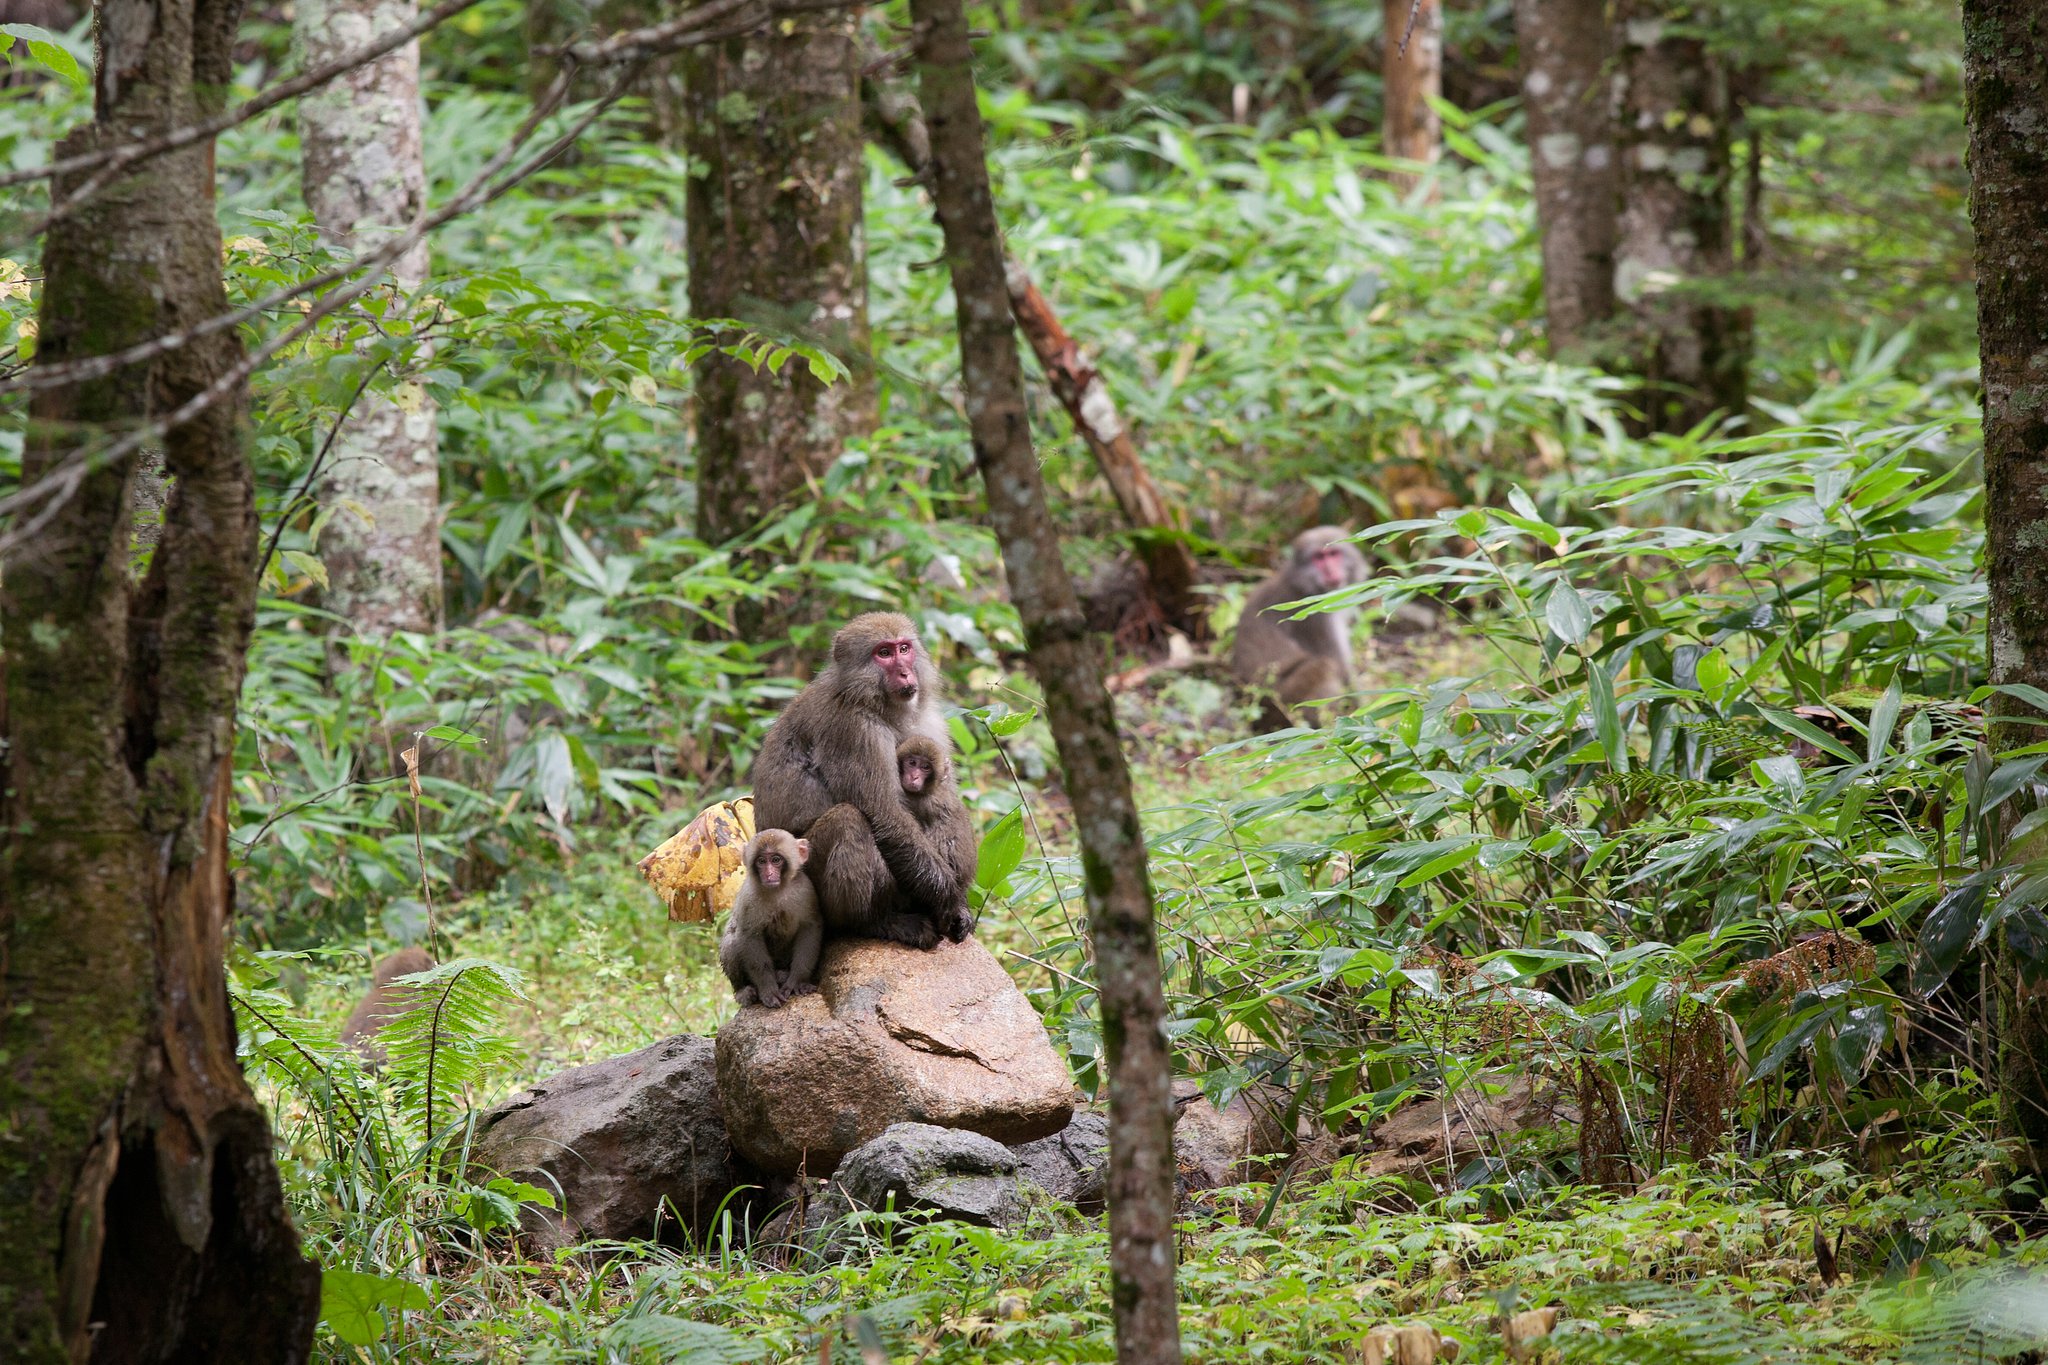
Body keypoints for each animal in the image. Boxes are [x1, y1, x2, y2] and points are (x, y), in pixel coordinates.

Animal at [718, 829, 823, 1009]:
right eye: (761, 861)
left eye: (775, 860)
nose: (768, 873)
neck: (777, 891)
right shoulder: (749, 897)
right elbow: (749, 936)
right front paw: (768, 990)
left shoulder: (806, 889)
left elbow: (810, 928)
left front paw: (797, 981)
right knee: (732, 941)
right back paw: (742, 990)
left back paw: (783, 975)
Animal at [751, 612, 971, 949]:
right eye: (884, 653)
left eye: (904, 648)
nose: (905, 672)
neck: (873, 701)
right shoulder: (855, 731)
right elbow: (884, 813)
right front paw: (949, 900)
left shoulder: (929, 721)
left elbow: (939, 797)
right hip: (800, 893)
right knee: (848, 819)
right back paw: (873, 922)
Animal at [1230, 526, 1368, 727]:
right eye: (1318, 557)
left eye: (1333, 554)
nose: (1330, 571)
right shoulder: (1315, 615)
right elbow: (1340, 665)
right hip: (1284, 699)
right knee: (1323, 666)